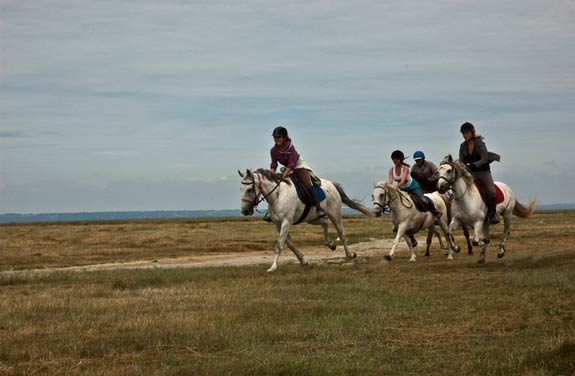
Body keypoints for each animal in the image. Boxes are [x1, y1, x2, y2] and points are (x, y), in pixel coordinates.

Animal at [238, 169, 374, 272]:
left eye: (250, 189)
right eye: (241, 189)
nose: (244, 210)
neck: (277, 195)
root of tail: (331, 184)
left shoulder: (286, 222)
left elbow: (279, 245)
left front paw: (273, 267)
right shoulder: (278, 224)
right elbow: (290, 245)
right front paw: (303, 261)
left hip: (334, 214)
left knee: (341, 234)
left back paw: (350, 255)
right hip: (312, 218)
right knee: (325, 223)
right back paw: (330, 244)